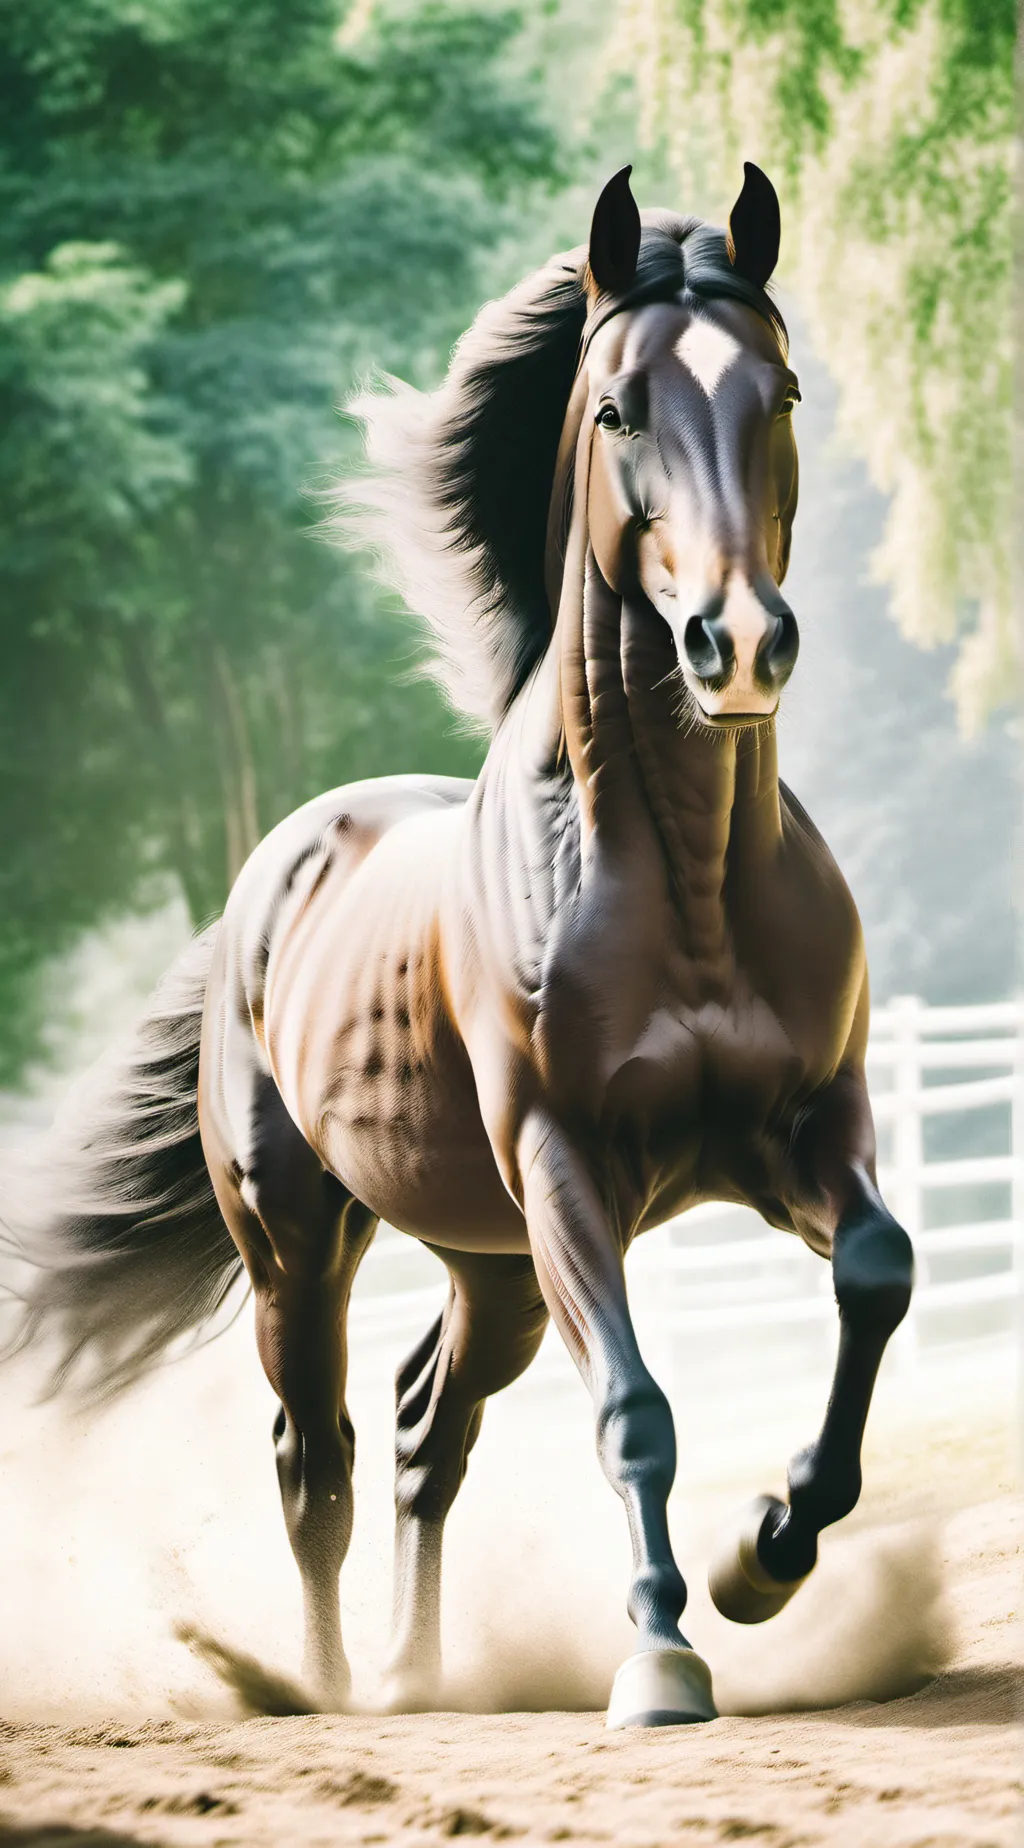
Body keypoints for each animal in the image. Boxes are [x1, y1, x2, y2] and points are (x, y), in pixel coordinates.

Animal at [4, 163, 913, 1729]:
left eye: (783, 389)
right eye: (617, 410)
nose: (737, 644)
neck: (687, 893)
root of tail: (267, 879)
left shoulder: (802, 1131)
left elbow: (877, 1274)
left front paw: (764, 1554)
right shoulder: (567, 1166)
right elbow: (634, 1407)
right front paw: (662, 1658)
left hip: (492, 1267)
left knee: (429, 1424)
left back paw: (420, 1674)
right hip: (304, 1243)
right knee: (317, 1456)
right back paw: (320, 1689)